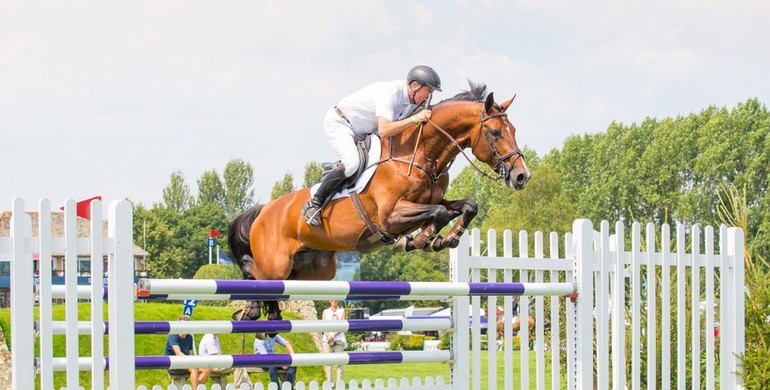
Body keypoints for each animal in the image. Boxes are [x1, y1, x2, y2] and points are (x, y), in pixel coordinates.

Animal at [226, 81, 528, 320]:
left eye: (514, 129)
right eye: (496, 132)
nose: (521, 176)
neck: (419, 155)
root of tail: (264, 210)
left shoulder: (435, 200)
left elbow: (467, 206)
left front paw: (446, 238)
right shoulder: (391, 216)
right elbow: (438, 213)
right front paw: (422, 239)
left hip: (314, 269)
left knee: (277, 284)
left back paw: (270, 315)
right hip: (276, 262)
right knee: (254, 270)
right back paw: (249, 310)